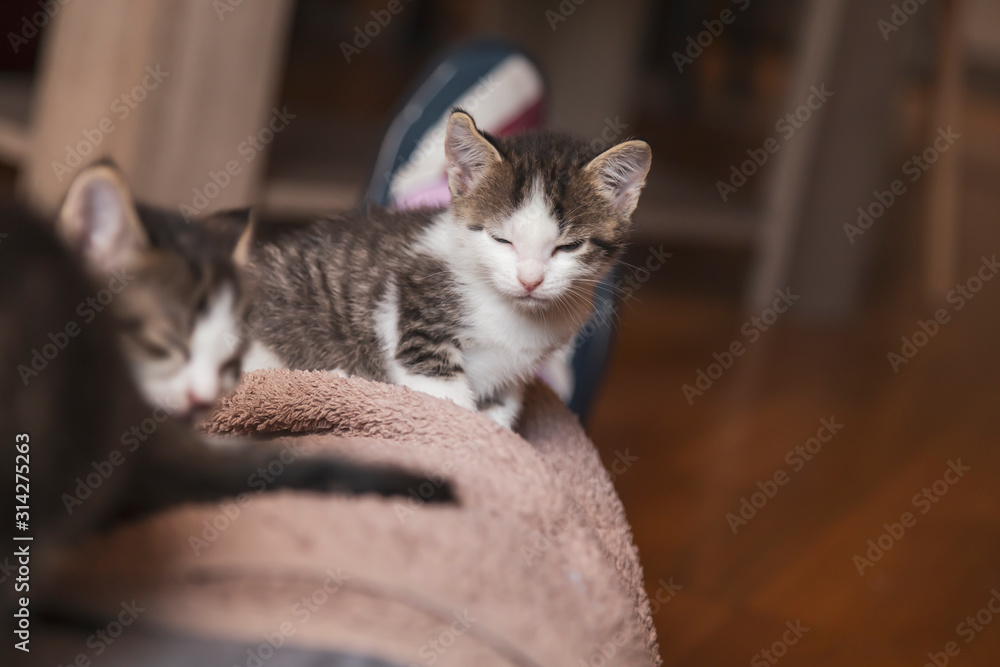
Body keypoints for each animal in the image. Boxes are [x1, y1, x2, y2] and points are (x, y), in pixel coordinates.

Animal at [241, 111, 648, 428]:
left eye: (568, 247)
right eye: (501, 240)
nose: (530, 281)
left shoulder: (512, 376)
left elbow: (502, 409)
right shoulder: (418, 329)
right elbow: (449, 404)